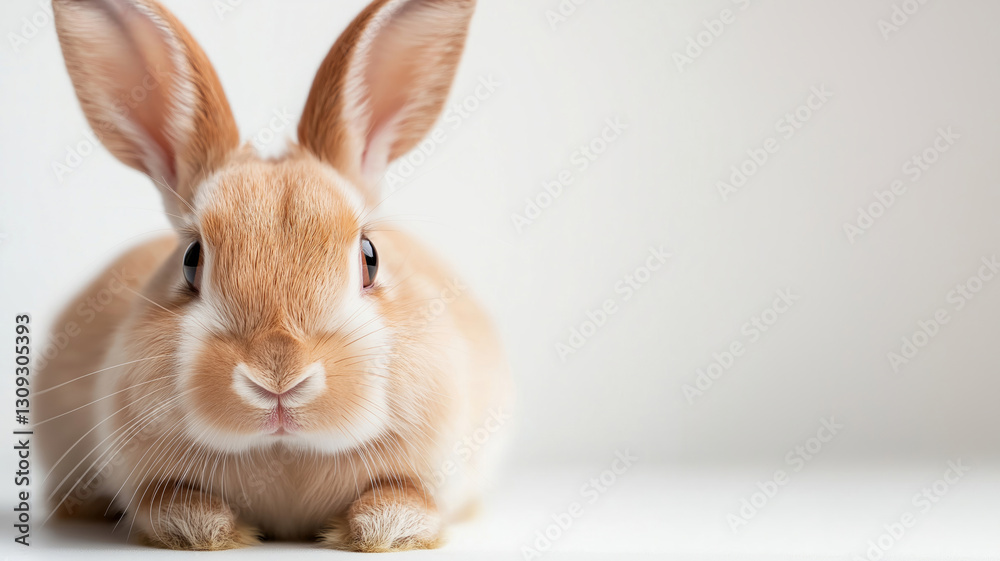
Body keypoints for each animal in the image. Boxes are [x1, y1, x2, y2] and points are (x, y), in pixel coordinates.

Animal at [37, 0, 511, 551]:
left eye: (369, 257)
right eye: (191, 259)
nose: (278, 375)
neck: (286, 455)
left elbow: (402, 500)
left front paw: (383, 529)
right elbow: (170, 506)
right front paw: (209, 528)